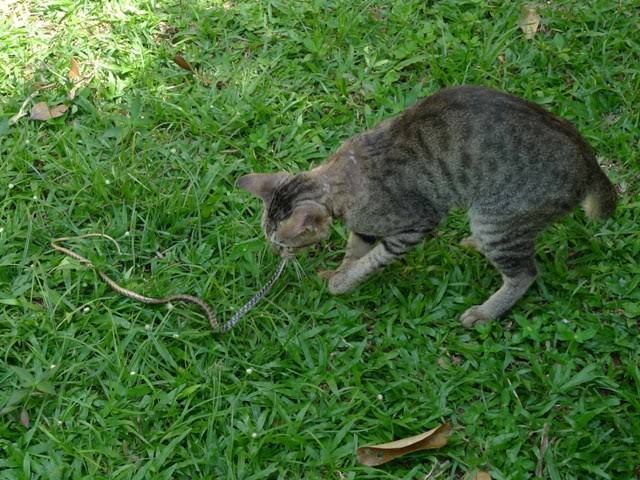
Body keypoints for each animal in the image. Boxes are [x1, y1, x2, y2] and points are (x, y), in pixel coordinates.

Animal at [236, 85, 616, 326]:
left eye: (282, 242)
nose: (276, 253)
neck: (343, 180)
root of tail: (589, 162)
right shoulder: (363, 228)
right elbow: (355, 250)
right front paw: (340, 271)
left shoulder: (414, 226)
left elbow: (372, 260)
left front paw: (343, 282)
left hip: (496, 217)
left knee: (525, 274)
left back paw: (485, 313)